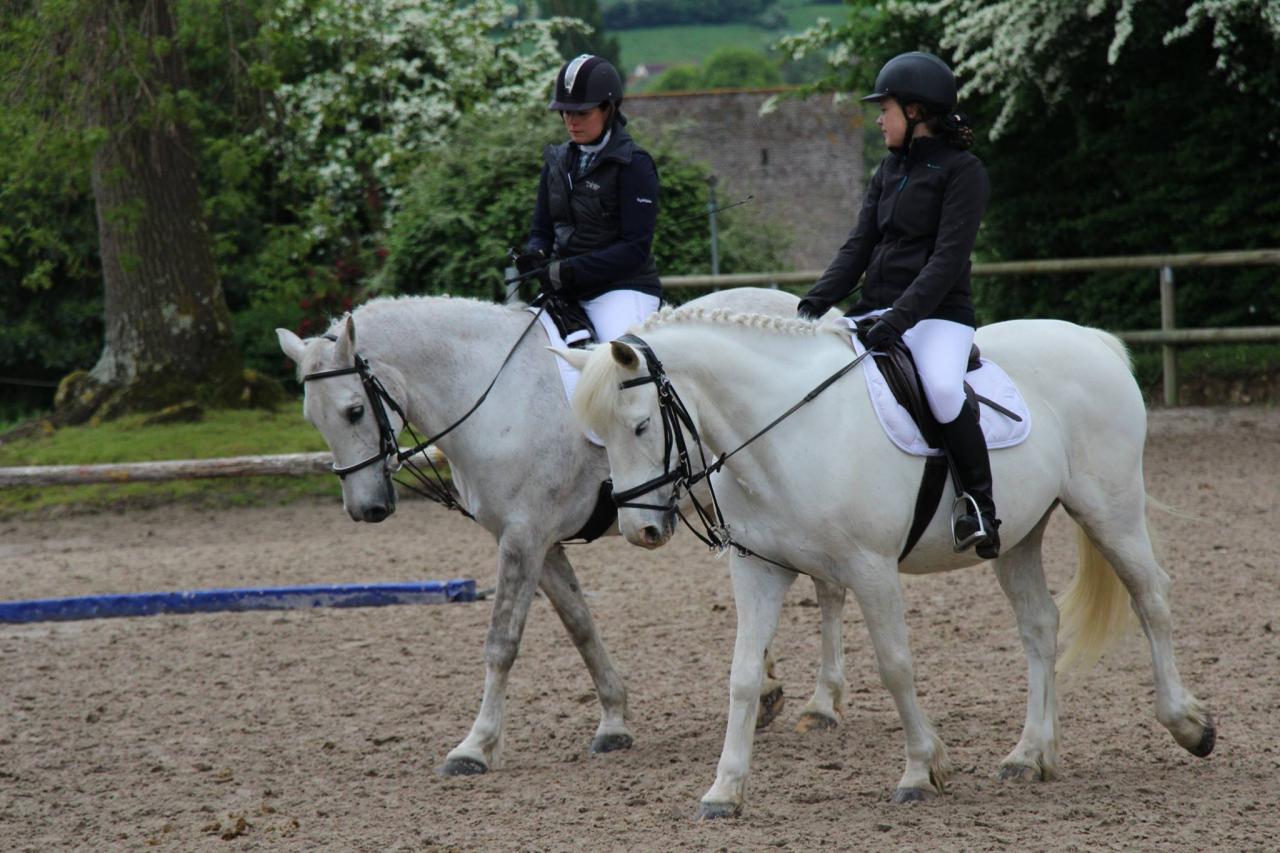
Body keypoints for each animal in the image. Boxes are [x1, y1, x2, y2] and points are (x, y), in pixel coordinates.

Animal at [275, 289, 844, 773]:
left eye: (353, 411)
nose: (365, 509)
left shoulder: (522, 538)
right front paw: (613, 722)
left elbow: (502, 641)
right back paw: (773, 693)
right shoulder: (539, 543)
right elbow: (580, 625)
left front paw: (475, 746)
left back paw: (822, 705)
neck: (492, 393)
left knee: (829, 587)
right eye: (314, 419)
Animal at [565, 307, 1213, 819]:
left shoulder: (870, 568)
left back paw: (1189, 726)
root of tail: (1093, 340)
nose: (642, 530)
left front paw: (921, 772)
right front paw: (724, 792)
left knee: (1151, 598)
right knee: (1040, 626)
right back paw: (1030, 756)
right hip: (1019, 537)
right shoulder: (759, 570)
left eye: (640, 425)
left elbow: (895, 667)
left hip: (1110, 510)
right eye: (597, 435)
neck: (788, 432)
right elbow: (744, 676)